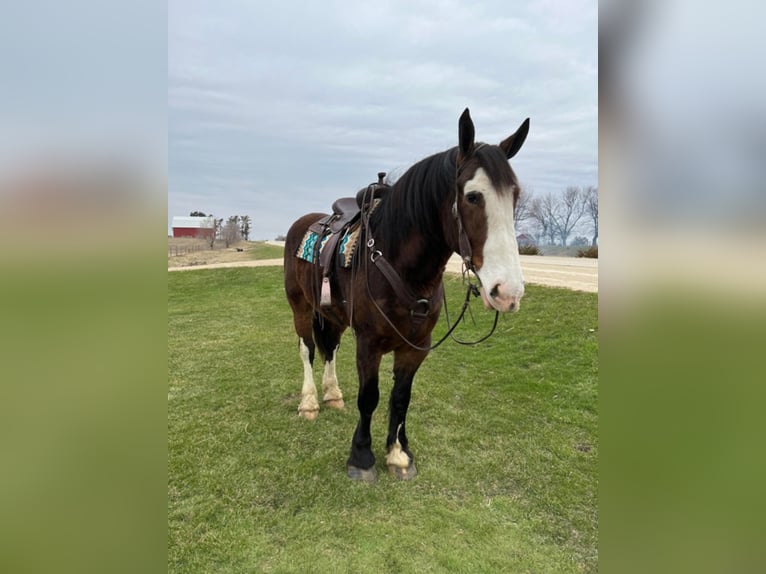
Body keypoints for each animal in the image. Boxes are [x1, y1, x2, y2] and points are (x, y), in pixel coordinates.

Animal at [284, 108, 532, 482]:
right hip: (300, 307)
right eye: (473, 196)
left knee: (330, 349)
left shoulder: (416, 347)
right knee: (307, 350)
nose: (508, 292)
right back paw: (310, 402)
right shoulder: (368, 343)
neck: (396, 263)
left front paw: (399, 454)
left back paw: (332, 395)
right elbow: (369, 397)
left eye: (514, 196)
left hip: (333, 315)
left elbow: (401, 398)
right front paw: (361, 457)